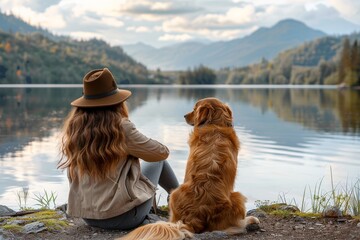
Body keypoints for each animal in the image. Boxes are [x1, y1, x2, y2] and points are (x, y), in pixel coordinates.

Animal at [120, 97, 258, 240]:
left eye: (194, 109)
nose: (184, 116)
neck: (215, 124)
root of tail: (194, 217)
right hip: (237, 196)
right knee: (236, 225)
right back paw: (252, 219)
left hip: (176, 194)